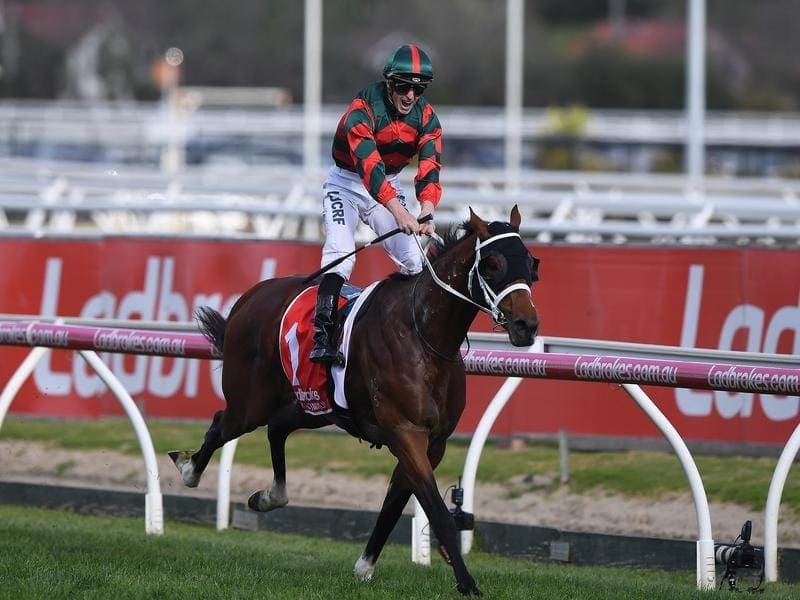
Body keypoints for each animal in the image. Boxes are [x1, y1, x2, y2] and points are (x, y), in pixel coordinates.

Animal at [171, 206, 540, 596]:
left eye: (532, 263)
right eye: (493, 264)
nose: (526, 325)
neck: (422, 334)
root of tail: (251, 296)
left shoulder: (433, 441)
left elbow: (394, 503)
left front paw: (365, 566)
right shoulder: (405, 431)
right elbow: (437, 511)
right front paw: (468, 583)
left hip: (314, 404)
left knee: (277, 427)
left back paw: (271, 495)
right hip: (251, 402)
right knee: (221, 424)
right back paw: (190, 469)